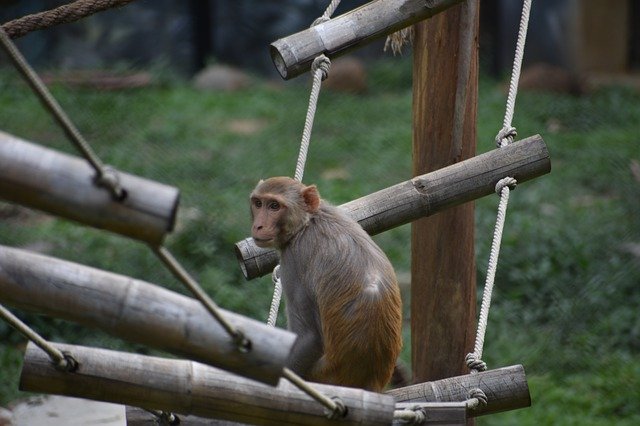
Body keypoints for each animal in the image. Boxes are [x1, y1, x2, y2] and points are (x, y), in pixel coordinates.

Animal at [249, 177, 400, 392]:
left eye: (274, 206)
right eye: (258, 203)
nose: (259, 226)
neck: (308, 222)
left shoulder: (295, 258)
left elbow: (309, 336)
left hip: (321, 374)